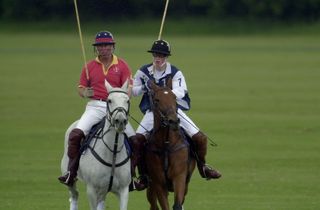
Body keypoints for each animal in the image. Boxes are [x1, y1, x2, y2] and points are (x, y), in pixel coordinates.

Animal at [60, 80, 132, 210]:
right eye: (109, 100)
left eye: (127, 100)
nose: (120, 121)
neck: (113, 152)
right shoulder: (92, 190)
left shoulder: (123, 190)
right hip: (69, 177)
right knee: (74, 196)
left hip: (103, 190)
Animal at [144, 81, 195, 210]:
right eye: (156, 100)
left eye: (174, 97)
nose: (174, 121)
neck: (166, 145)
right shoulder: (158, 182)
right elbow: (164, 206)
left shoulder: (180, 177)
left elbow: (177, 205)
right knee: (153, 205)